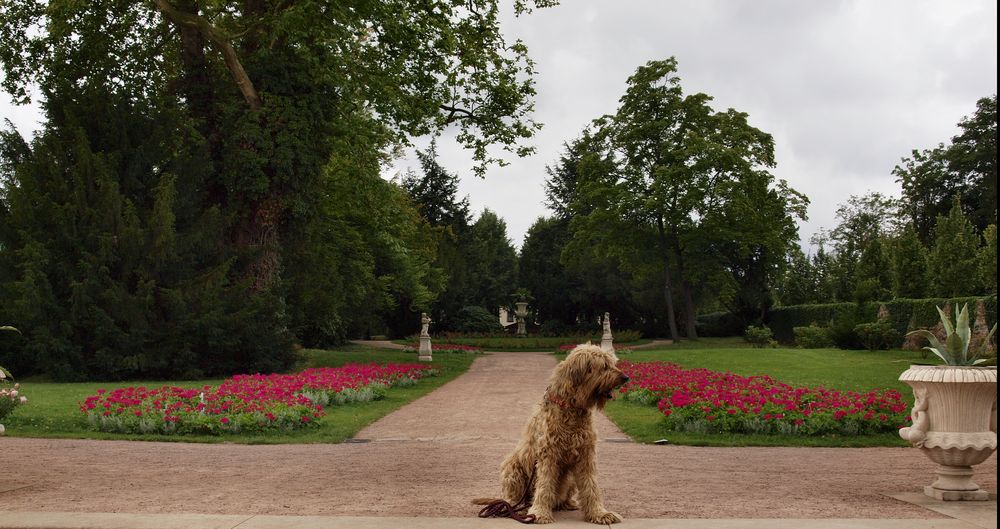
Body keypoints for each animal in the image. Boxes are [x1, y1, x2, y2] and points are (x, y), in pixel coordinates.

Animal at [474, 342, 628, 524]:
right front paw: (539, 513)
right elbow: (545, 485)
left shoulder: (585, 455)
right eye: (604, 367)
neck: (572, 408)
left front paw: (599, 513)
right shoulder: (548, 455)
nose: (626, 377)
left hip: (570, 479)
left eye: (612, 363)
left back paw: (567, 503)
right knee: (512, 498)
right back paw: (516, 507)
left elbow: (591, 486)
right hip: (512, 467)